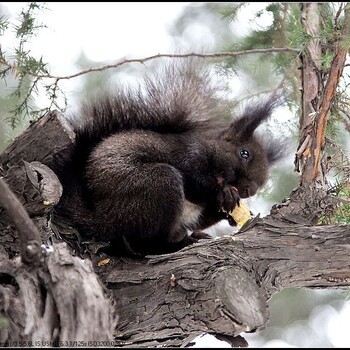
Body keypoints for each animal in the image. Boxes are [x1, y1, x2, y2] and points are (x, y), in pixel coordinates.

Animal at [54, 59, 284, 258]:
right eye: (244, 153)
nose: (250, 190)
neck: (211, 151)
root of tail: (102, 218)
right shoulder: (189, 155)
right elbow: (196, 182)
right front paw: (224, 193)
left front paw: (228, 212)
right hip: (157, 184)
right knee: (144, 243)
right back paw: (176, 244)